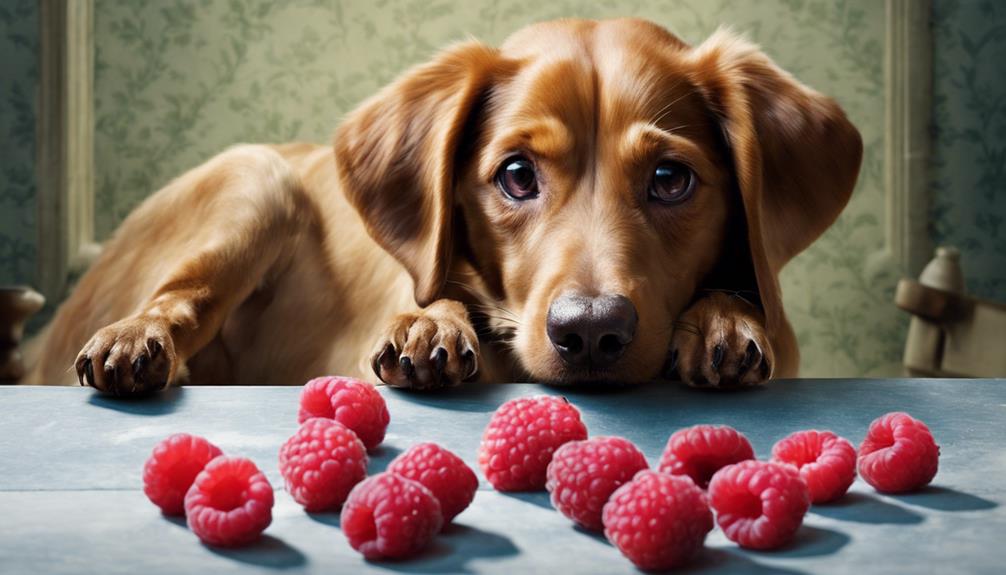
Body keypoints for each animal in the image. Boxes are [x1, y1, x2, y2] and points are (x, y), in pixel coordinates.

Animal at [23, 19, 857, 396]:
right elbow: (436, 298)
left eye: (672, 180)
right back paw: (136, 339)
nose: (590, 332)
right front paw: (432, 322)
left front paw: (723, 318)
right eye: (516, 175)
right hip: (258, 176)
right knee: (176, 302)